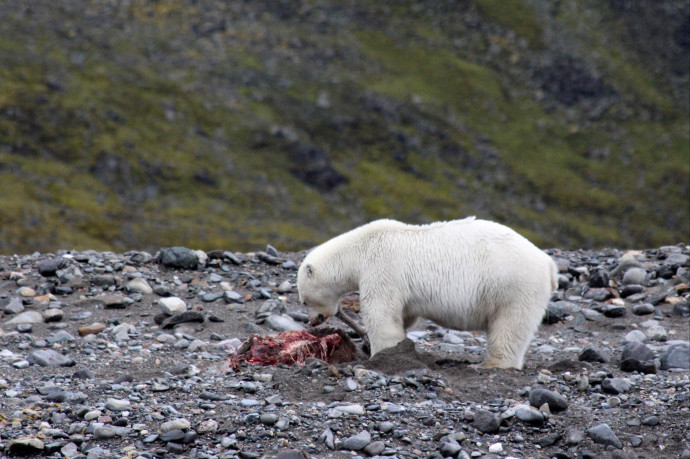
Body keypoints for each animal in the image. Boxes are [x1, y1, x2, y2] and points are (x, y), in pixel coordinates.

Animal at [298, 218, 556, 370]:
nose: (312, 321)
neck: (361, 248)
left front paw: (380, 354)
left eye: (304, 300)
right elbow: (403, 314)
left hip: (513, 285)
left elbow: (381, 311)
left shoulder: (381, 267)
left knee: (510, 325)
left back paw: (490, 364)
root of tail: (548, 263)